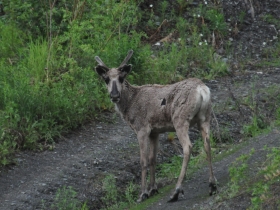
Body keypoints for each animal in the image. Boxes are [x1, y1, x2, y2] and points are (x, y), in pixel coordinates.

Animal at [94, 50, 217, 203]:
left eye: (122, 78)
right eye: (106, 79)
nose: (115, 95)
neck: (130, 104)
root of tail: (202, 90)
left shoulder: (142, 128)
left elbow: (143, 160)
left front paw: (143, 193)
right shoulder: (155, 131)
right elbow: (153, 158)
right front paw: (153, 189)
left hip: (180, 119)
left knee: (188, 147)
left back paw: (176, 191)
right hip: (205, 118)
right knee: (207, 143)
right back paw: (212, 185)